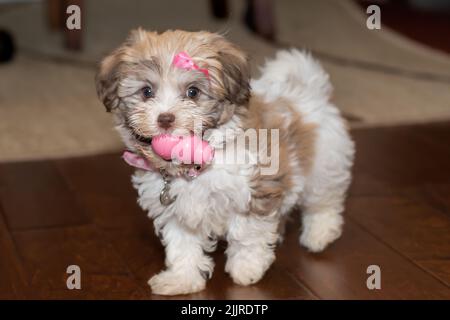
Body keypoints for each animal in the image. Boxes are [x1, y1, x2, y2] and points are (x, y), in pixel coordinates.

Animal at [95, 28, 356, 294]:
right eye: (146, 91)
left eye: (193, 92)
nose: (165, 118)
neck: (196, 165)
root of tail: (310, 89)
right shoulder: (177, 211)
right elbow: (182, 244)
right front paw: (182, 278)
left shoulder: (253, 192)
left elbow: (247, 234)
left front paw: (247, 269)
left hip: (324, 164)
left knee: (324, 201)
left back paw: (319, 234)